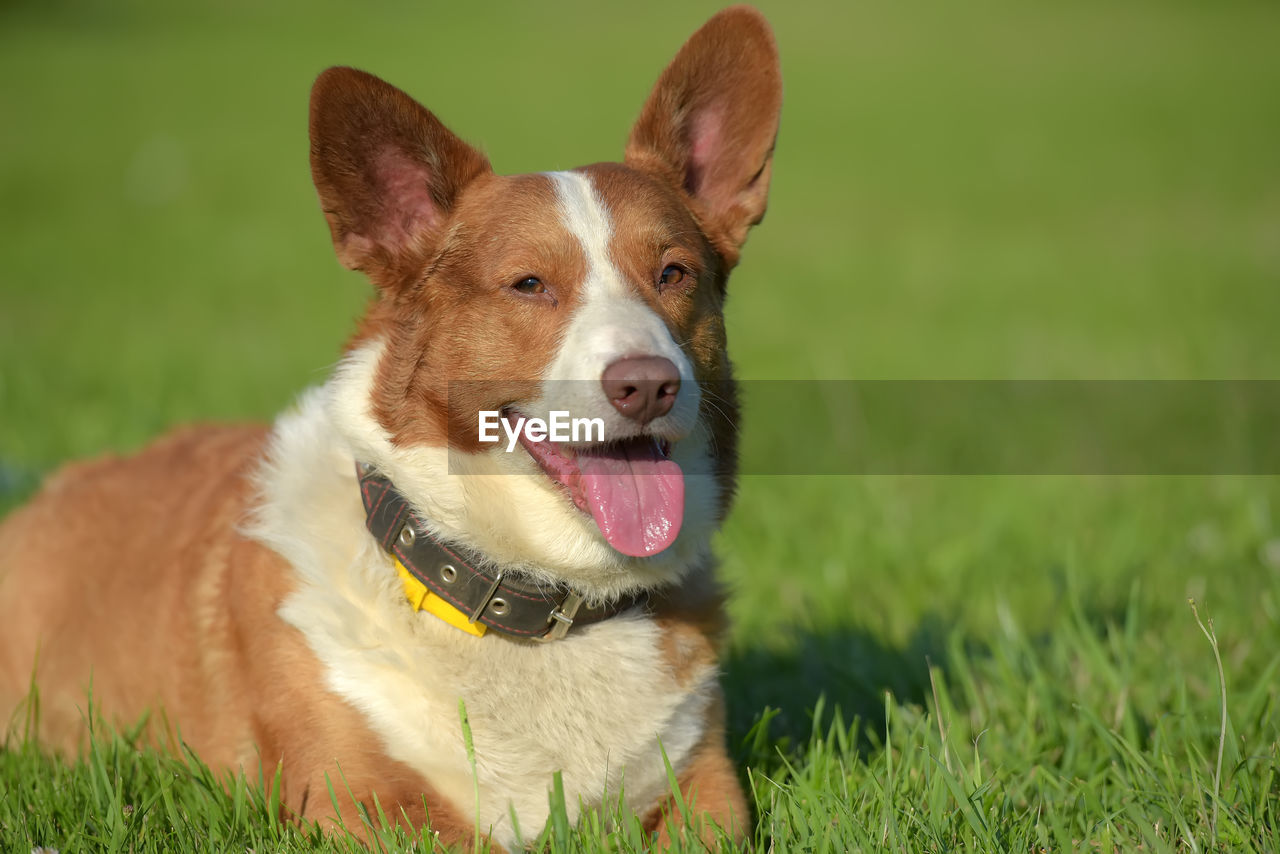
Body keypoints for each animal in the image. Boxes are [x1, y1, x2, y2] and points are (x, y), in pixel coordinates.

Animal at [0, 5, 778, 850]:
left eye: (674, 274)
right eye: (528, 284)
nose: (648, 383)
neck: (536, 597)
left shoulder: (707, 789)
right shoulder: (353, 802)